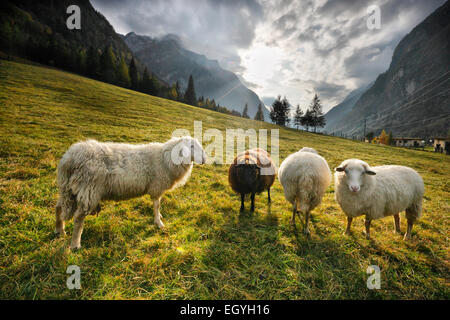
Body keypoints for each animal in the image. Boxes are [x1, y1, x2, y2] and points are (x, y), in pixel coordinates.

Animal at [55, 136, 207, 249]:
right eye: (192, 146)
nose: (204, 160)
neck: (167, 158)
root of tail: (69, 158)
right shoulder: (156, 187)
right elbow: (157, 205)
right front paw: (158, 222)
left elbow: (158, 206)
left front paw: (159, 217)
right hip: (88, 190)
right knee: (78, 217)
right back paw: (75, 244)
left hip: (68, 189)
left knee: (58, 207)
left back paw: (60, 230)